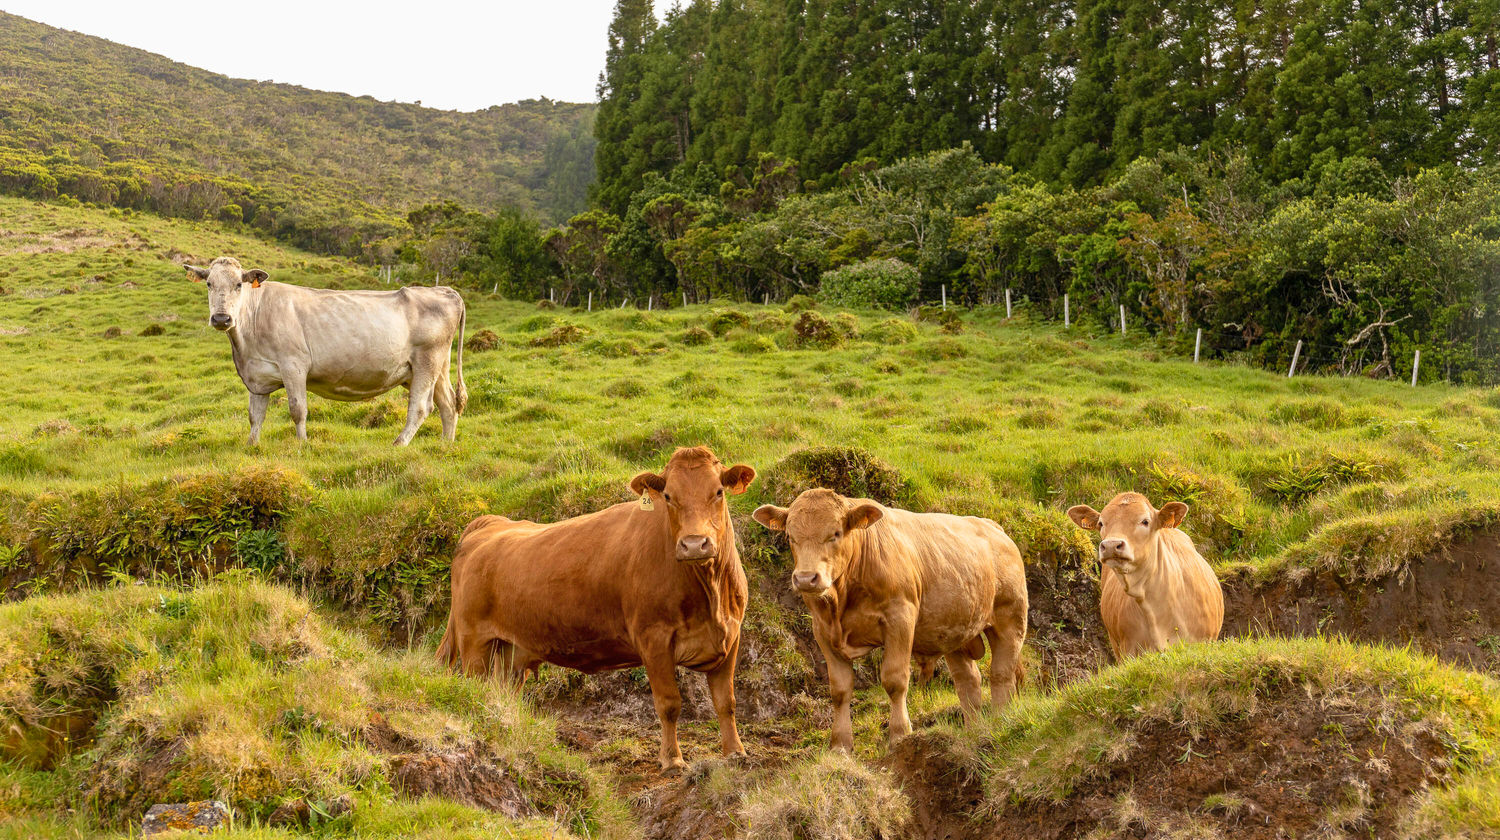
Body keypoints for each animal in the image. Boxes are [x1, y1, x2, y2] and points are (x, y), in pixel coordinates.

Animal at [183, 257, 466, 446]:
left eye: (238, 285)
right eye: (209, 283)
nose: (222, 318)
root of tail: (444, 289)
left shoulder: (294, 366)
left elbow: (298, 409)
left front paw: (302, 445)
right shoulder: (257, 375)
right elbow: (255, 416)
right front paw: (252, 446)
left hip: (427, 361)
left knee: (421, 407)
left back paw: (399, 443)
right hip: (435, 367)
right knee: (448, 403)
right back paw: (446, 444)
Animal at [438, 446, 756, 771]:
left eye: (718, 492)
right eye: (668, 496)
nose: (693, 544)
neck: (710, 596)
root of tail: (490, 523)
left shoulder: (731, 635)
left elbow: (727, 702)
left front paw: (735, 752)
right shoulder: (653, 638)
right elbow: (669, 704)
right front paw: (672, 759)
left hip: (509, 652)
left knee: (501, 697)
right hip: (474, 644)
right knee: (475, 691)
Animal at [753, 490, 1028, 751]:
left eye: (836, 533)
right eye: (790, 537)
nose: (806, 578)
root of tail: (993, 526)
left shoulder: (900, 618)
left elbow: (894, 679)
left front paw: (899, 734)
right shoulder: (822, 630)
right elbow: (840, 690)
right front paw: (840, 745)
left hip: (1010, 618)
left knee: (1001, 673)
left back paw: (1001, 721)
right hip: (956, 632)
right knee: (968, 681)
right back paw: (975, 731)